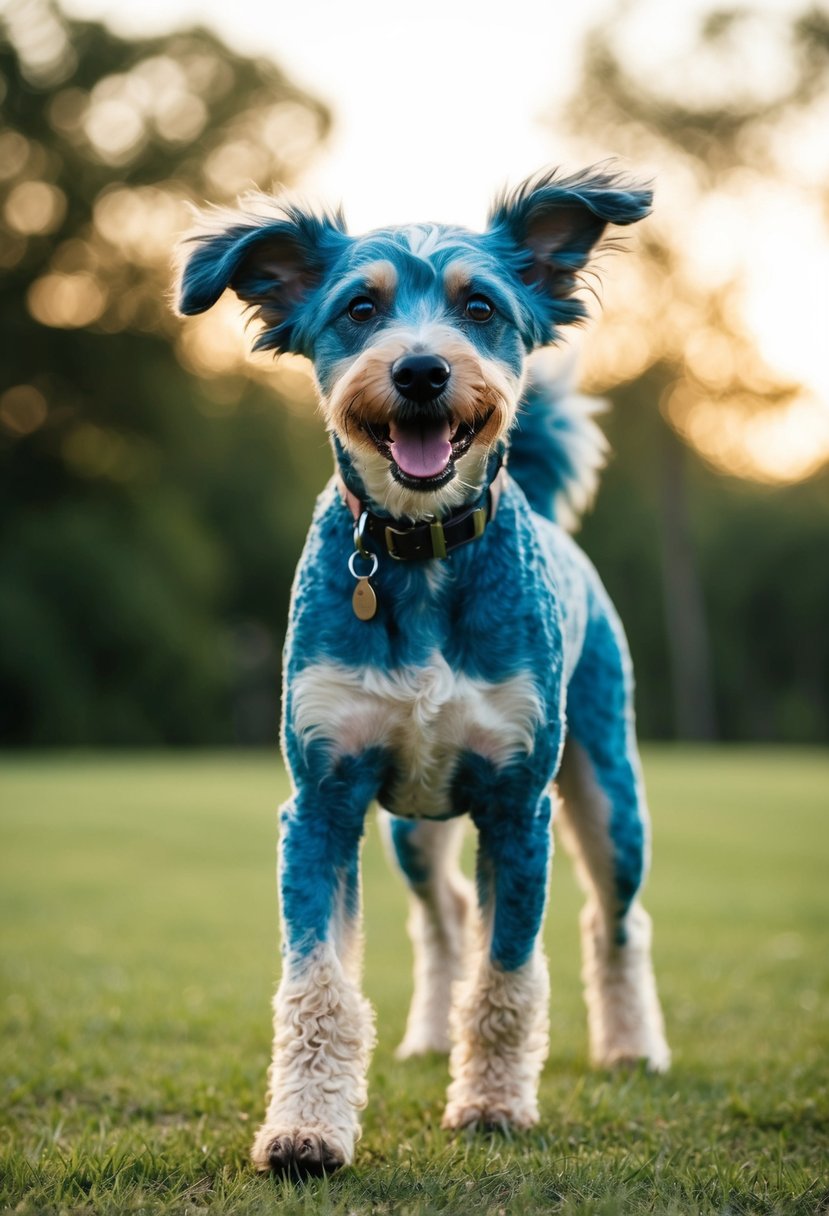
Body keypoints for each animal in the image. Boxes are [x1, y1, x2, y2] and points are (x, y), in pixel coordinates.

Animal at [172, 166, 666, 1172]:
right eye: (359, 308)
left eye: (481, 306)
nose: (420, 371)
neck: (419, 551)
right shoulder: (324, 794)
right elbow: (319, 985)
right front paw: (306, 1131)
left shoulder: (517, 803)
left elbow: (508, 973)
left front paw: (492, 1105)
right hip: (412, 824)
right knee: (440, 918)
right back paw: (432, 1036)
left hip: (606, 787)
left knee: (613, 920)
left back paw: (631, 1047)